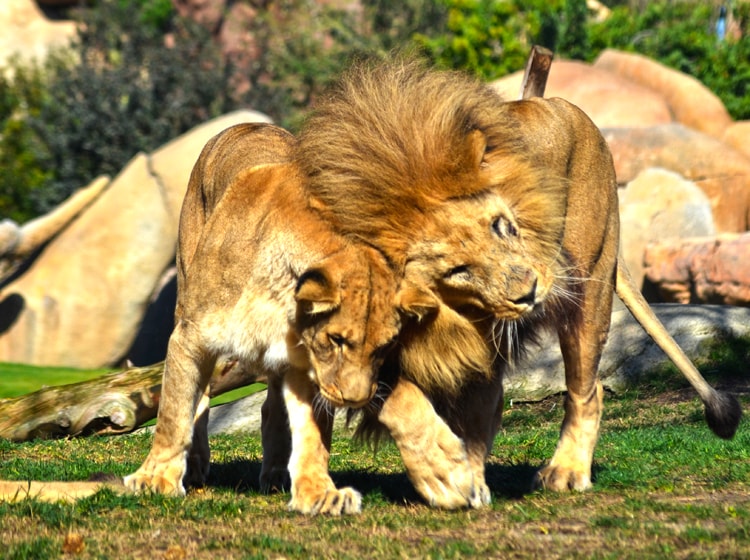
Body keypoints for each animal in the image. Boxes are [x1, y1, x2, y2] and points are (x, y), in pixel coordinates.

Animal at [296, 59, 744, 506]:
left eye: (501, 225)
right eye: (458, 271)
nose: (528, 292)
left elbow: (473, 416)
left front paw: (460, 477)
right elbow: (404, 401)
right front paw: (449, 474)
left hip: (591, 287)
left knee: (586, 389)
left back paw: (567, 471)